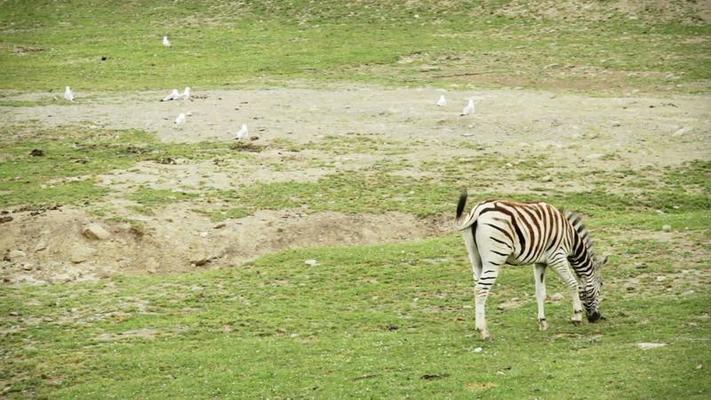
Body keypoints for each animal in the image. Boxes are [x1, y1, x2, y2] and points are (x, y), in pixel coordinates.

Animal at [456, 189, 608, 340]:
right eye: (601, 285)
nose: (597, 317)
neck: (571, 238)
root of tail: (478, 210)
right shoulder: (557, 257)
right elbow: (573, 284)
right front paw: (576, 316)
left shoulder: (540, 262)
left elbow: (540, 292)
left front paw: (542, 322)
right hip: (494, 258)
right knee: (481, 289)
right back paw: (483, 332)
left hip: (476, 259)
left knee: (477, 287)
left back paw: (481, 327)